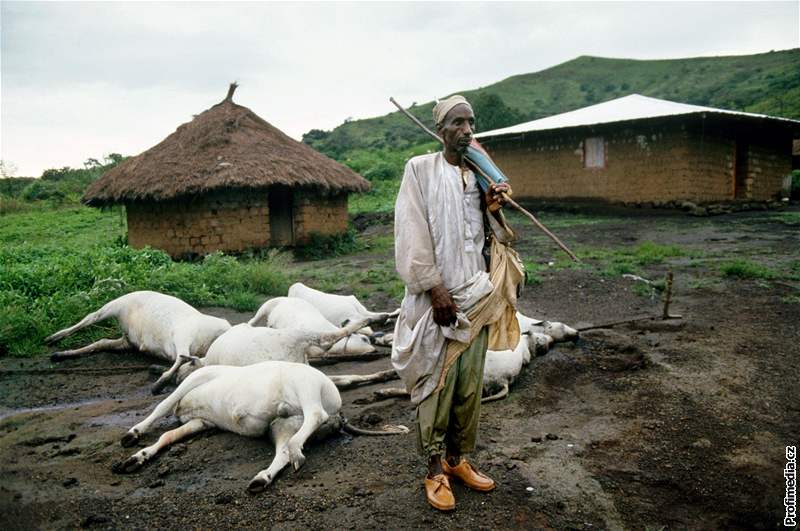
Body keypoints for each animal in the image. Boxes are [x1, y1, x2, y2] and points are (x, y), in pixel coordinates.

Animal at [112, 362, 406, 490]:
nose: (154, 380)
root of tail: (340, 415)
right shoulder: (202, 421)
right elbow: (169, 435)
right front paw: (137, 458)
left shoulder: (197, 379)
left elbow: (161, 407)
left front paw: (132, 434)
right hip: (282, 424)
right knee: (284, 451)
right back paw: (262, 477)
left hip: (305, 385)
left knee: (315, 413)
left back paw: (295, 451)